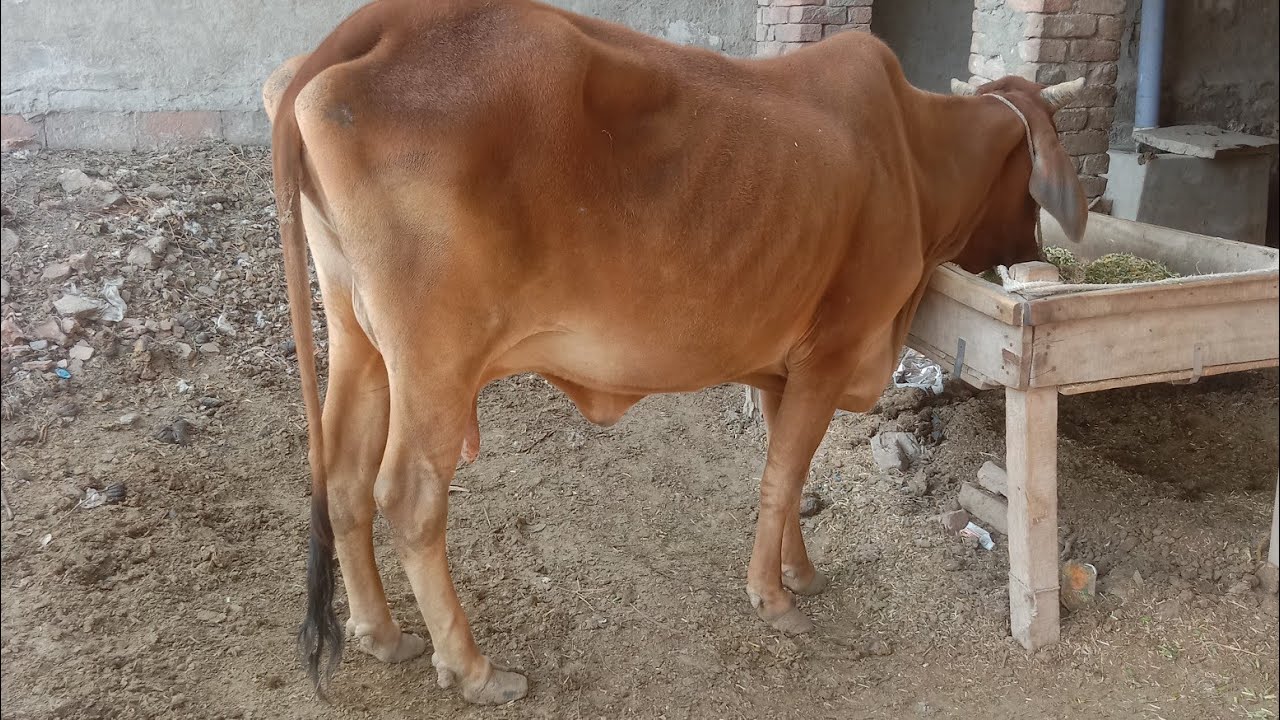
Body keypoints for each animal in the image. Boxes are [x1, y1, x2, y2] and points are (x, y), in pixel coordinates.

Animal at [263, 0, 1086, 705]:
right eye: (1030, 180)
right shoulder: (831, 351)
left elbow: (786, 474)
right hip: (435, 356)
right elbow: (783, 478)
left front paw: (800, 570)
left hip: (359, 336)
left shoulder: (783, 365)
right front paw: (775, 600)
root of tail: (376, 27)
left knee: (342, 477)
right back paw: (472, 669)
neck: (914, 156)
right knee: (408, 496)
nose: (1038, 251)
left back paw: (381, 634)